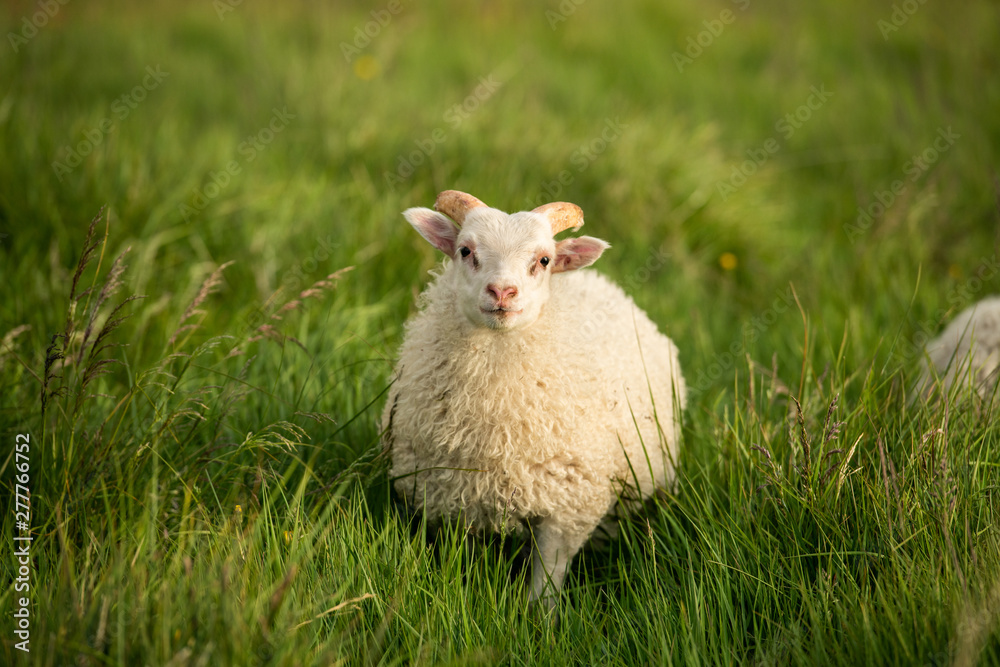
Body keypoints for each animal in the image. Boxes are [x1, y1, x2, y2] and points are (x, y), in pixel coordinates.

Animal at [382, 189, 686, 606]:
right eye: (465, 250)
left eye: (543, 260)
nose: (502, 292)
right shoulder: (453, 500)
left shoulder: (569, 508)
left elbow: (547, 579)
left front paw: (537, 616)